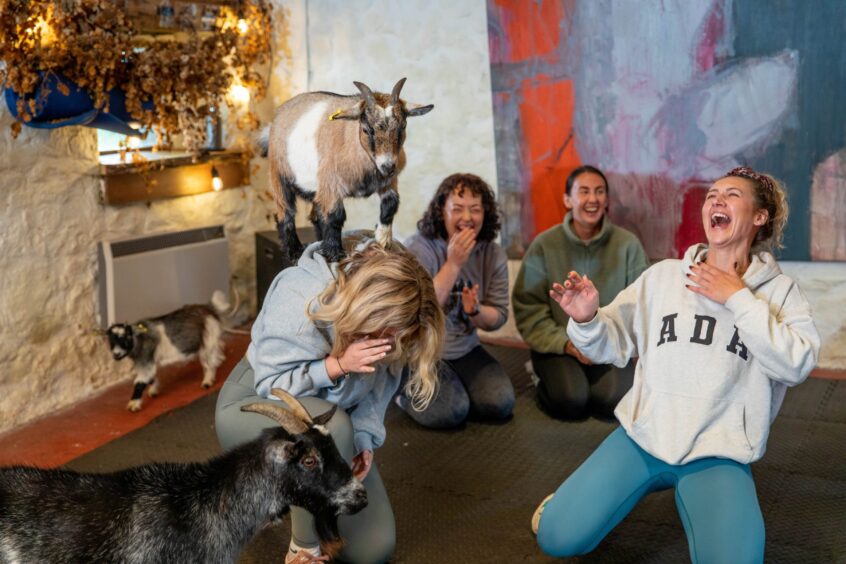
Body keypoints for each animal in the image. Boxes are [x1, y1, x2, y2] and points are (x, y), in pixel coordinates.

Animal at [264, 76, 438, 264]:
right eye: (367, 129)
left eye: (403, 127)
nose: (388, 166)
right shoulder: (332, 185)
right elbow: (335, 216)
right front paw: (335, 255)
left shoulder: (389, 181)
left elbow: (391, 204)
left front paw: (383, 240)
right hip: (278, 175)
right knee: (286, 213)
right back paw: (295, 252)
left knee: (316, 214)